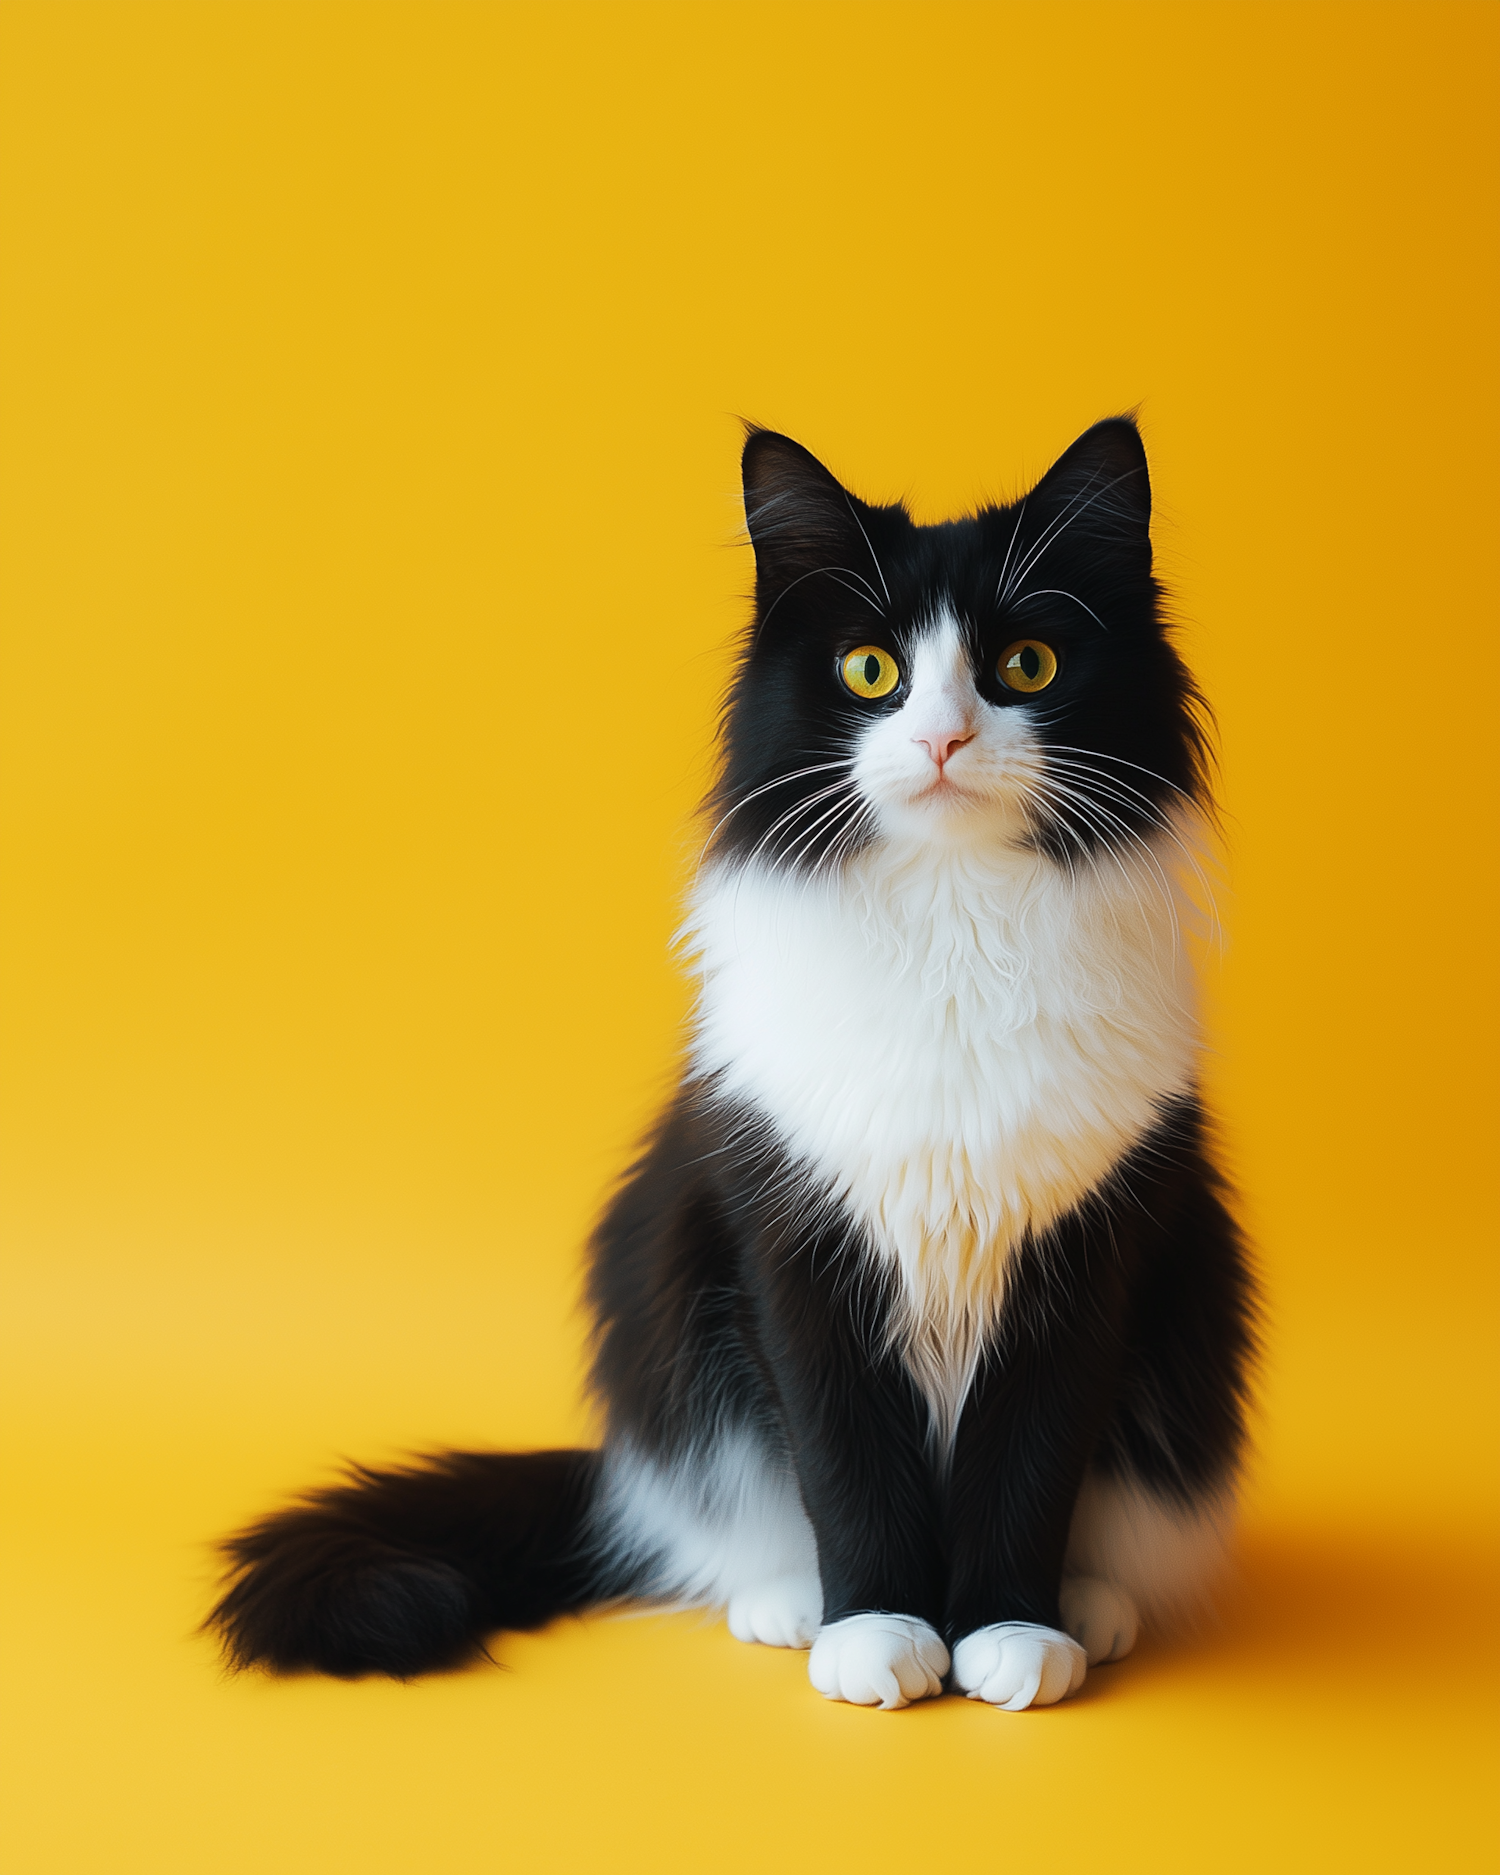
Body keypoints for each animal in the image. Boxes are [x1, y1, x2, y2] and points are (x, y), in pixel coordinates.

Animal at [210, 418, 1260, 1710]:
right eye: (871, 673)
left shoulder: (1088, 1254)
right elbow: (845, 1461)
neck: (957, 924)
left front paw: (1011, 1633)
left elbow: (1029, 1462)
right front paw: (877, 1630)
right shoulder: (788, 1244)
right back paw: (790, 1604)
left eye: (1027, 665)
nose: (945, 739)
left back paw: (1090, 1610)